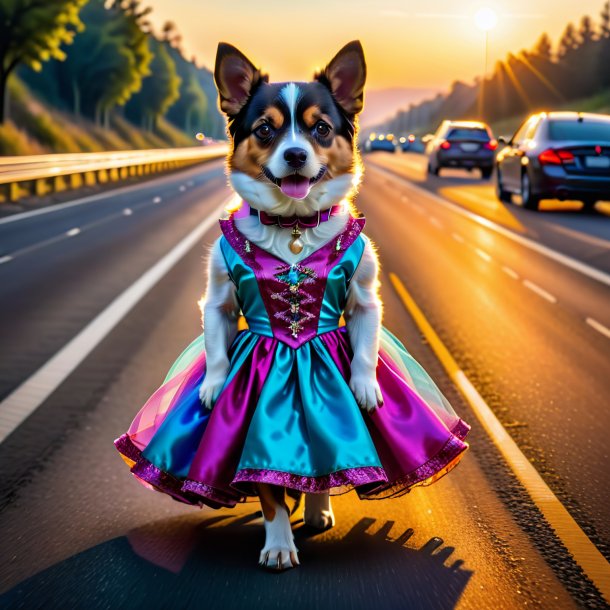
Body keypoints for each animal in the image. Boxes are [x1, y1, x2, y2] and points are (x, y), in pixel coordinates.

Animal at [200, 40, 380, 568]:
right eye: (266, 129)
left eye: (321, 128)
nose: (296, 153)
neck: (294, 224)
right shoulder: (218, 297)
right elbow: (270, 492)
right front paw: (278, 546)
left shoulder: (365, 297)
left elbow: (363, 347)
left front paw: (365, 387)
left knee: (323, 474)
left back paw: (319, 510)